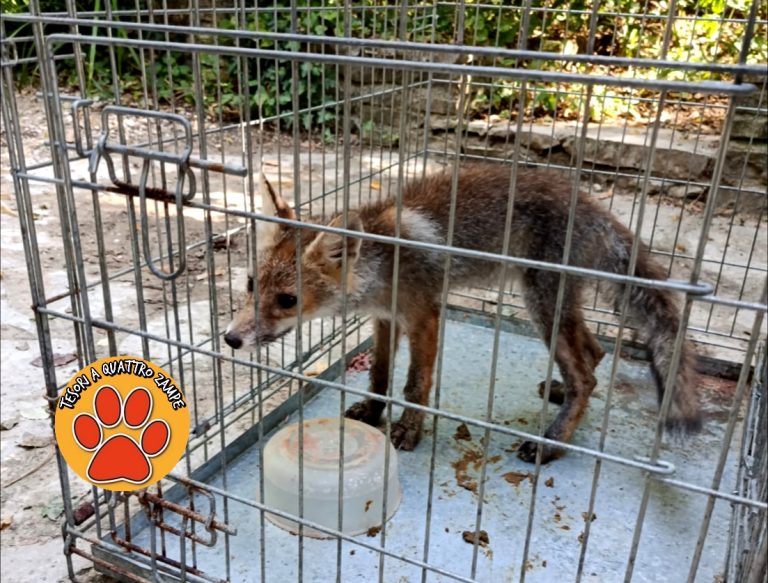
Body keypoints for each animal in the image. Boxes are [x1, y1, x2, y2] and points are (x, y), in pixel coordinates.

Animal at [224, 163, 702, 463]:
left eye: (287, 300)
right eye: (250, 285)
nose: (230, 339)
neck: (383, 263)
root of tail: (592, 205)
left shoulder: (425, 315)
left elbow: (415, 385)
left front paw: (408, 430)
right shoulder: (385, 319)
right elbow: (379, 375)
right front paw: (374, 412)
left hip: (541, 306)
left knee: (585, 372)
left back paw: (552, 444)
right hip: (557, 307)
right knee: (595, 352)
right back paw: (561, 395)